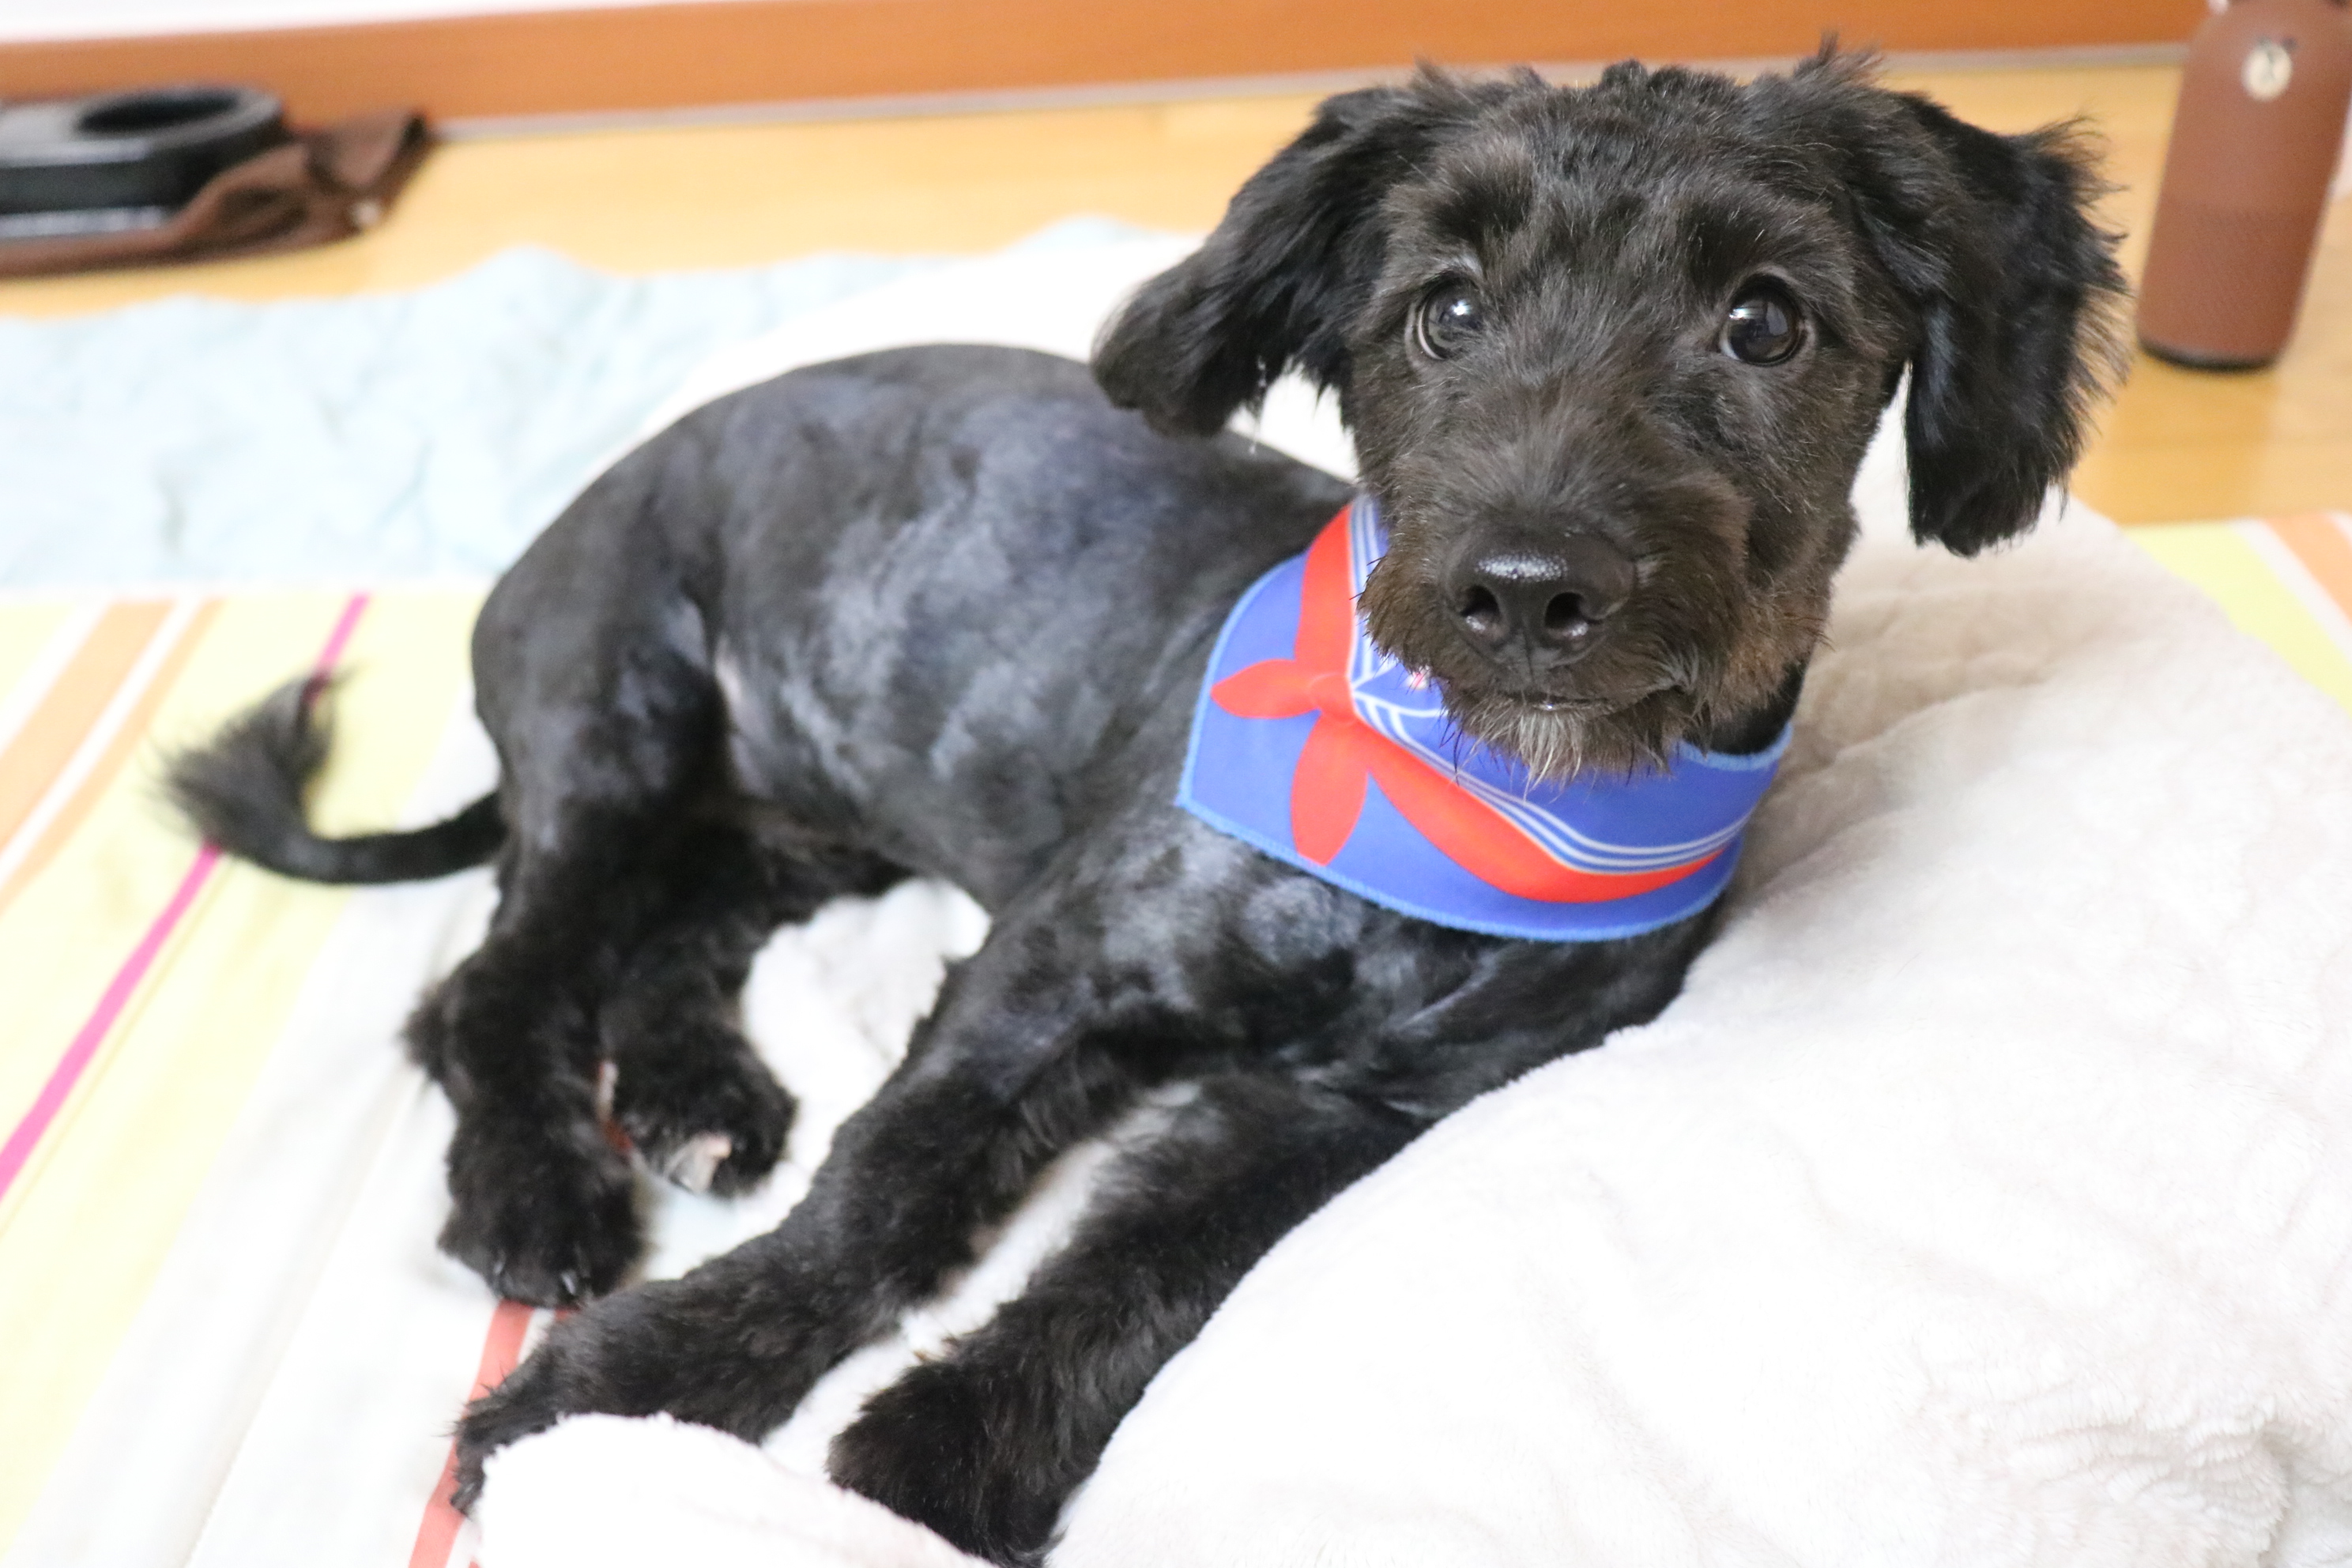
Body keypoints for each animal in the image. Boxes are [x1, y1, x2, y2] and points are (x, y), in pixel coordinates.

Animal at [169, 51, 2123, 1565]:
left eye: (1763, 322)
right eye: (1446, 308)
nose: (1523, 585)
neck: (1462, 811)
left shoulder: (1350, 1109)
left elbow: (1147, 1273)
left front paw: (957, 1440)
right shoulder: (1052, 965)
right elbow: (886, 1187)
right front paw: (628, 1386)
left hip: (805, 823)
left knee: (673, 943)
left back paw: (701, 1096)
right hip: (617, 725)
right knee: (489, 983)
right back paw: (541, 1190)